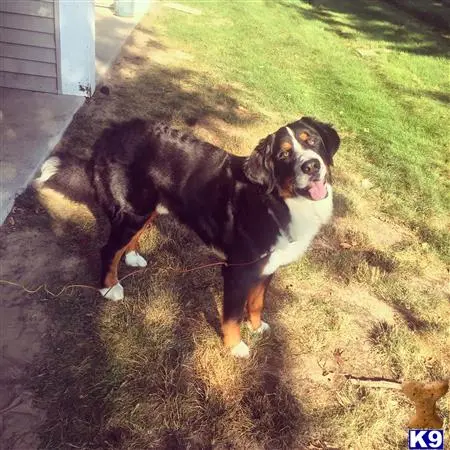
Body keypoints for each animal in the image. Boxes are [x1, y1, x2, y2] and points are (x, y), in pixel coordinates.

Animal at [35, 118, 340, 356]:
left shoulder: (267, 267)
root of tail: (112, 131)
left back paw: (132, 257)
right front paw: (235, 347)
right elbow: (232, 315)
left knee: (126, 243)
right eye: (284, 155)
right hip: (134, 210)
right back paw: (110, 288)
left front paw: (257, 327)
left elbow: (257, 303)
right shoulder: (238, 270)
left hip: (148, 209)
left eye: (312, 140)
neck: (276, 200)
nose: (311, 166)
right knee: (109, 250)